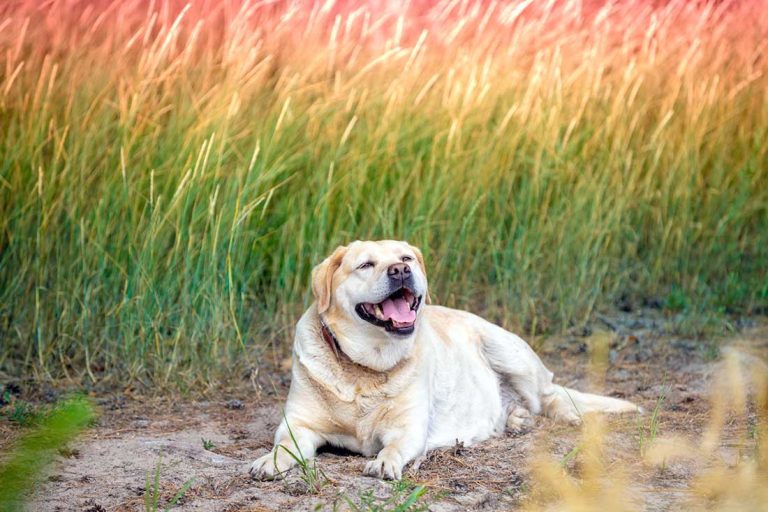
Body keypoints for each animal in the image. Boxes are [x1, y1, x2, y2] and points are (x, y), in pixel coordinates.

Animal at [249, 240, 640, 480]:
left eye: (405, 258)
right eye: (366, 264)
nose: (400, 270)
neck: (365, 369)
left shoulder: (408, 429)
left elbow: (394, 446)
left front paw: (384, 462)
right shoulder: (298, 425)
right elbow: (285, 445)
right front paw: (270, 461)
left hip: (507, 350)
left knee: (550, 395)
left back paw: (565, 415)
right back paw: (515, 419)